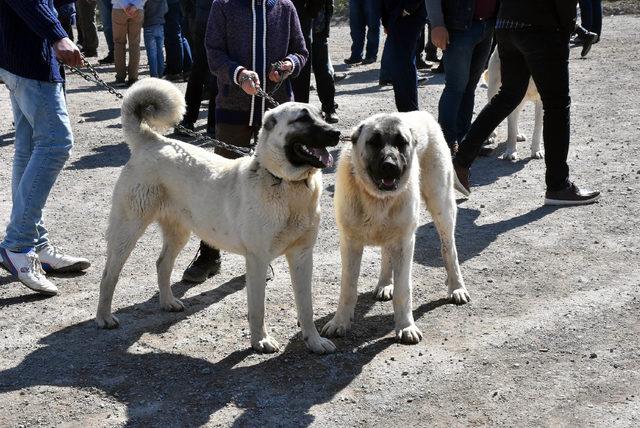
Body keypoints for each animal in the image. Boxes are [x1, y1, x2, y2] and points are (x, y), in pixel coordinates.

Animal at [95, 77, 340, 354]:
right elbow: (258, 308)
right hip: (128, 230)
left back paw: (168, 302)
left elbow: (306, 306)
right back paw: (104, 317)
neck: (287, 185)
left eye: (321, 115)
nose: (336, 133)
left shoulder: (302, 256)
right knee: (108, 274)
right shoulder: (257, 259)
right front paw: (260, 341)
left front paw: (314, 341)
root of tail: (152, 139)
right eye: (302, 118)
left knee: (162, 264)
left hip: (178, 232)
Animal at [322, 110, 468, 344]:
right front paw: (340, 322)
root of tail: (423, 114)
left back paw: (457, 287)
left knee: (449, 251)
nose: (390, 165)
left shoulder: (404, 243)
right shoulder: (350, 243)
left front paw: (406, 326)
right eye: (374, 142)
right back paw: (384, 284)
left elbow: (403, 290)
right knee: (385, 254)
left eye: (401, 143)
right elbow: (347, 288)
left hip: (442, 208)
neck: (377, 198)